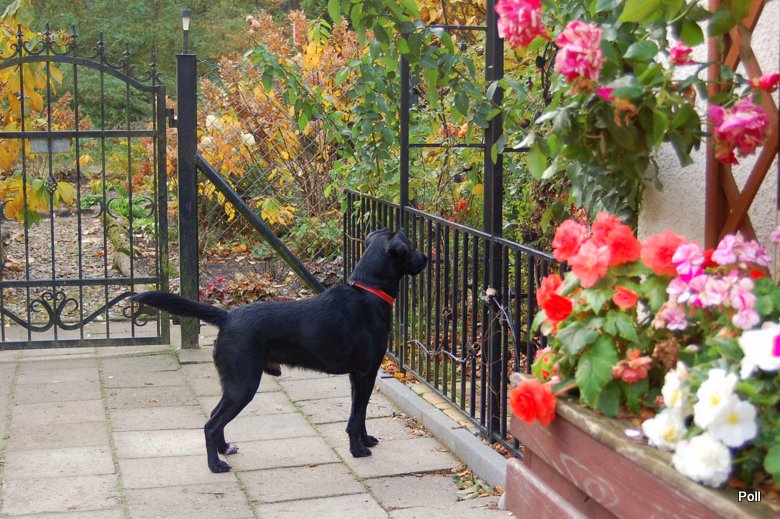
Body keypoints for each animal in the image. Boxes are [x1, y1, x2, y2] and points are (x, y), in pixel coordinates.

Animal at [133, 229, 426, 473]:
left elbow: (360, 414)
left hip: (234, 384)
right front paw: (357, 450)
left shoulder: (359, 377)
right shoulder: (365, 373)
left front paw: (366, 440)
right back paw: (215, 465)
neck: (369, 293)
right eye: (410, 246)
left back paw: (224, 449)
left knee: (216, 417)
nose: (426, 257)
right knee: (211, 424)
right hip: (243, 384)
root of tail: (227, 317)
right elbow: (356, 418)